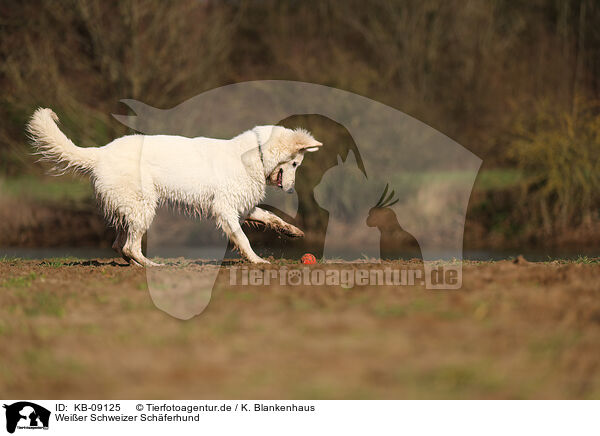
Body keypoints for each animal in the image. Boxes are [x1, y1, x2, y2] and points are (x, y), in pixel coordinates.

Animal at [27, 109, 324, 266]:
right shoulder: (225, 209)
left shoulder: (240, 206)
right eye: (295, 163)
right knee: (129, 246)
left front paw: (292, 231)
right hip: (144, 206)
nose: (290, 190)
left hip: (130, 208)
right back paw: (150, 265)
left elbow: (270, 217)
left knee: (118, 245)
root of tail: (100, 153)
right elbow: (243, 238)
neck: (255, 154)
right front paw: (257, 260)